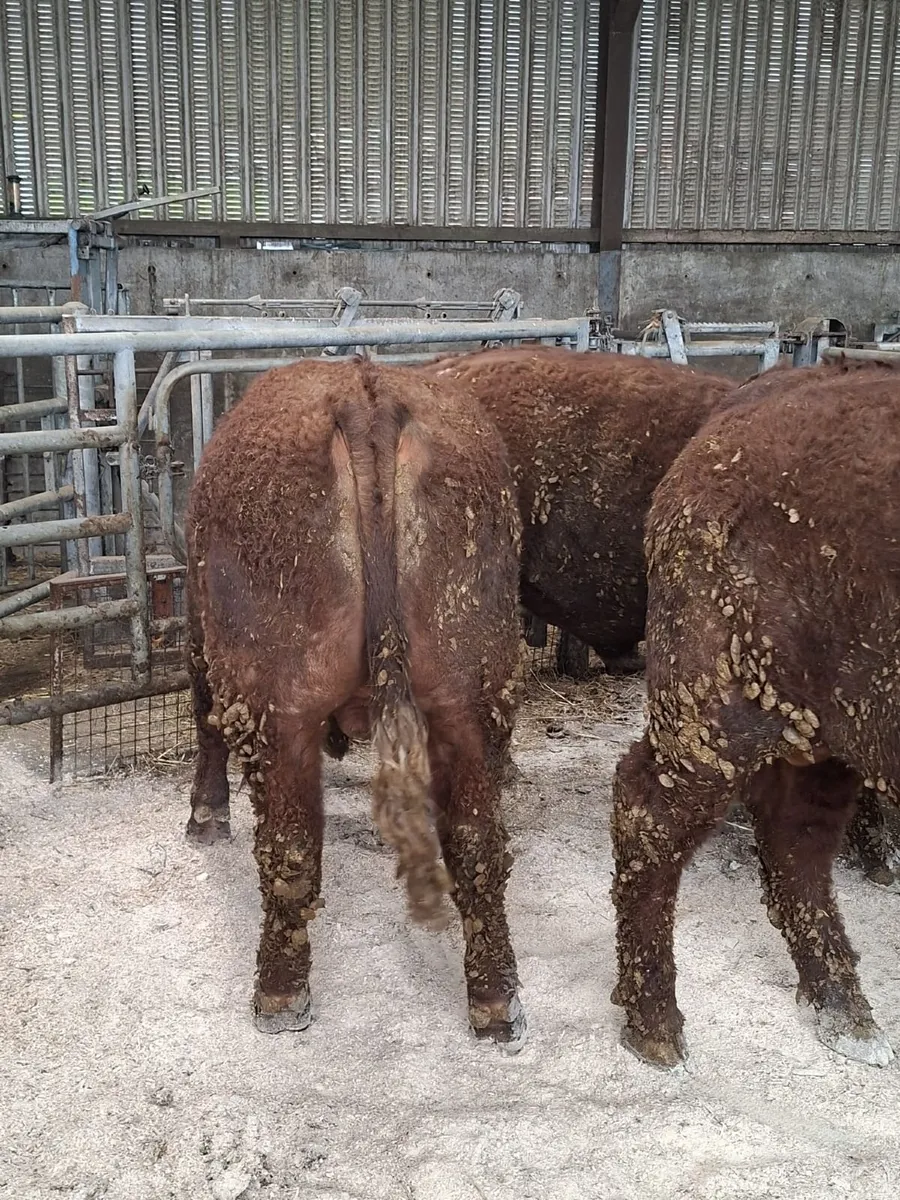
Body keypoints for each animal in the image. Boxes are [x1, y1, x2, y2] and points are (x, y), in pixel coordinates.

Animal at [184, 357, 527, 1049]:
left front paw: (205, 817)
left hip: (280, 704)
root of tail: (365, 392)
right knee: (478, 844)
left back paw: (278, 995)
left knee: (290, 847)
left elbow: (205, 720)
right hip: (472, 695)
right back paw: (496, 1001)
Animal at [610, 357, 899, 1070]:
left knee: (798, 838)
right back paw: (656, 1026)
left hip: (826, 732)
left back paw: (845, 1012)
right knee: (648, 812)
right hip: (718, 720)